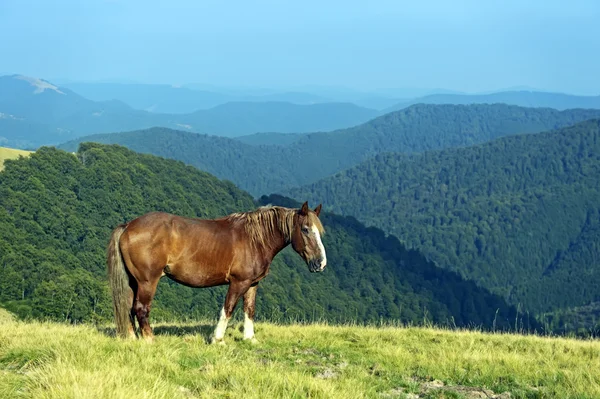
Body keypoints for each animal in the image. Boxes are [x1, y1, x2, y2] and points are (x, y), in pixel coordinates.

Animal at [105, 202, 326, 346]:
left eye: (319, 231)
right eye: (305, 229)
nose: (321, 263)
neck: (255, 238)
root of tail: (128, 226)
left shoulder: (252, 284)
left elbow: (249, 310)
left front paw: (250, 338)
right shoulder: (238, 283)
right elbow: (228, 309)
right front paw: (217, 339)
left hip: (134, 282)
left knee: (129, 308)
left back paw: (132, 337)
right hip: (147, 281)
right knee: (141, 308)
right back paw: (150, 339)